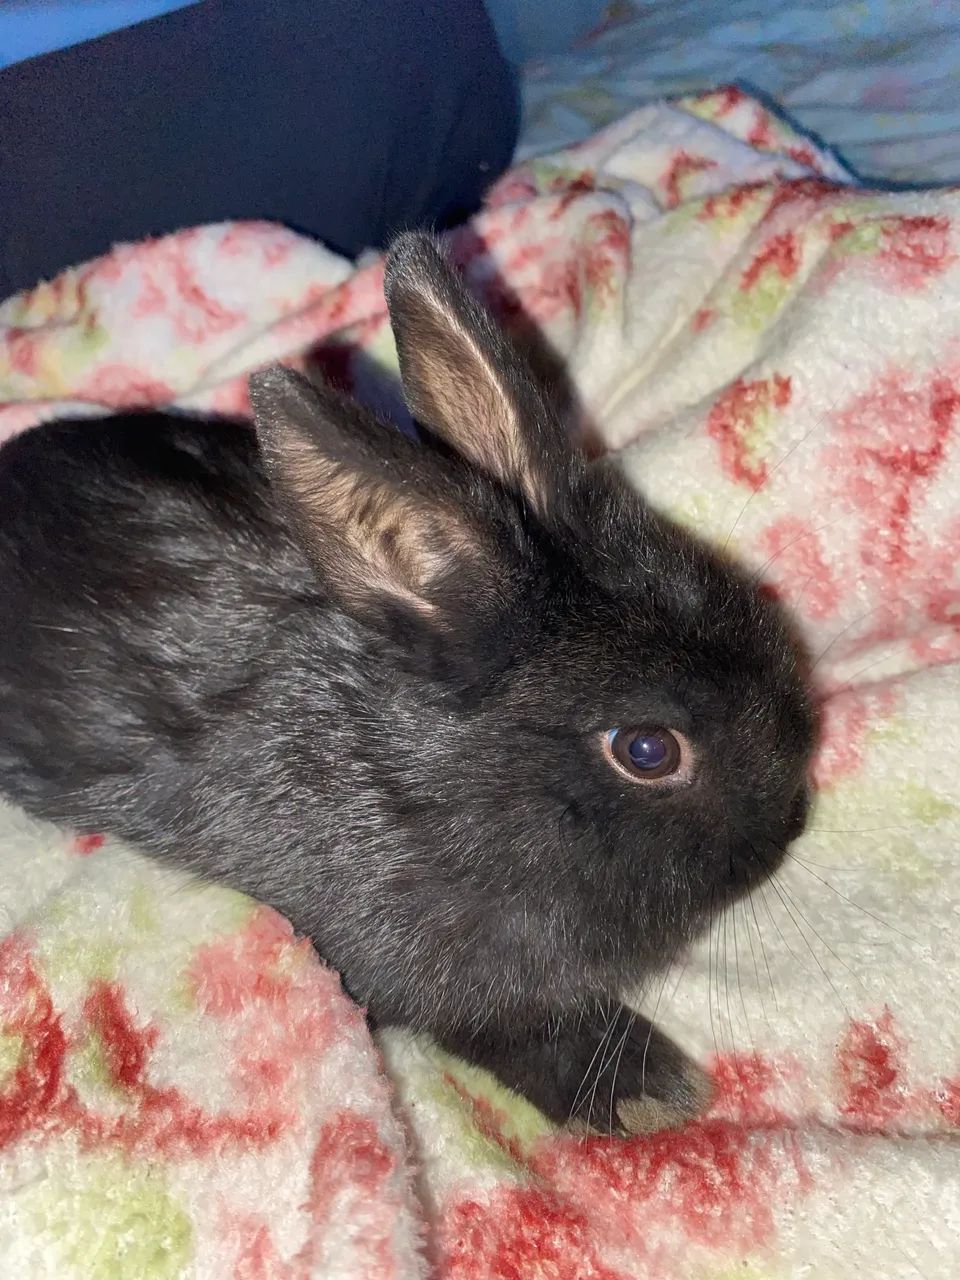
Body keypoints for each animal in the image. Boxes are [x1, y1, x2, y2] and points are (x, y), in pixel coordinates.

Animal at [0, 233, 816, 1134]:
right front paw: (653, 1093)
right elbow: (516, 1028)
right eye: (646, 750)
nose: (790, 827)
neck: (447, 788)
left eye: (742, 605)